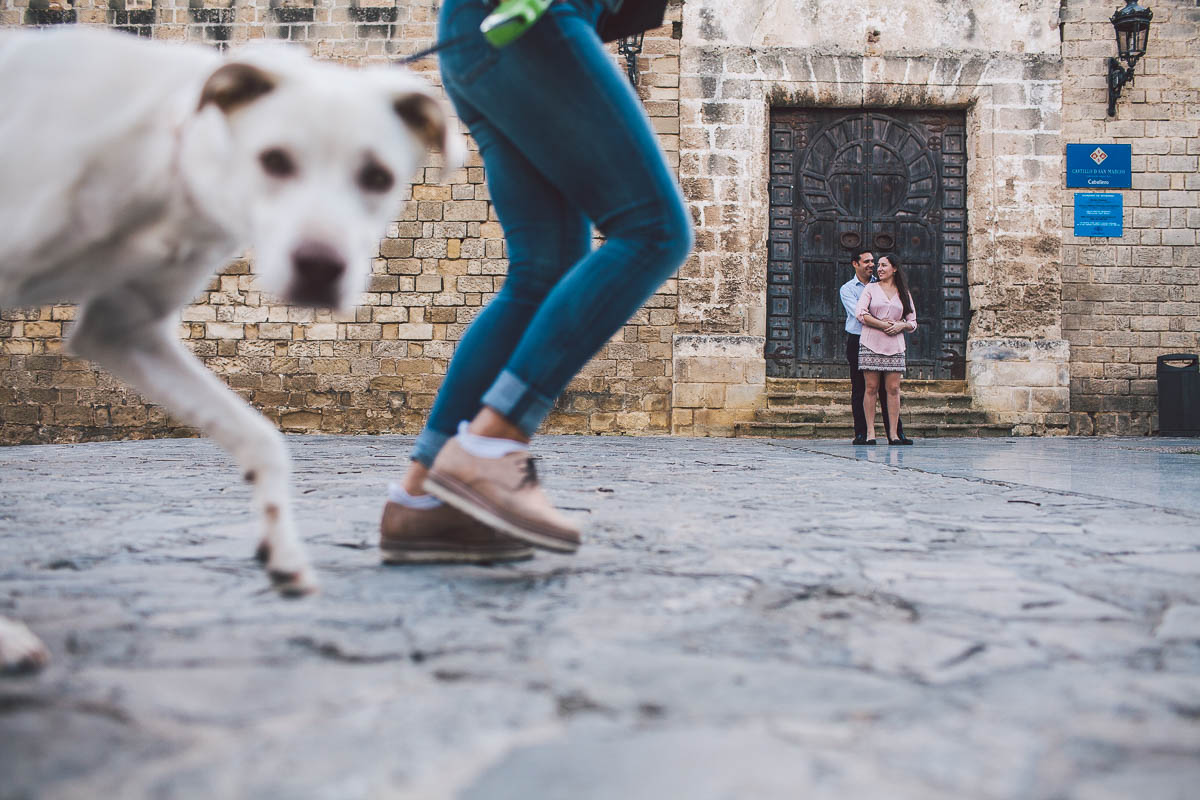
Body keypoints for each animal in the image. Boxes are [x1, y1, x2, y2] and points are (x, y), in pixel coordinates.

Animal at [0, 28, 465, 671]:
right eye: (273, 160)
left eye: (377, 177)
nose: (320, 268)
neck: (166, 163)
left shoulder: (124, 329)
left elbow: (261, 437)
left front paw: (283, 553)